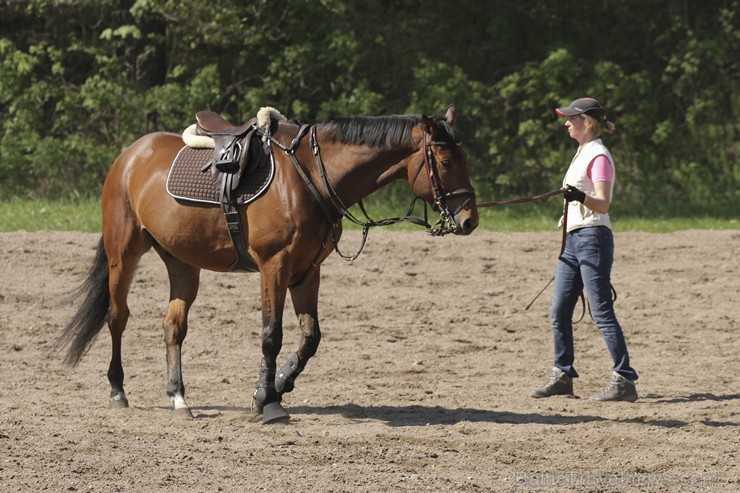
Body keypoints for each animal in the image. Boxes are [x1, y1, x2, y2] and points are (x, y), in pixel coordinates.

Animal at [62, 105, 480, 420]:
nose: (469, 220)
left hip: (182, 262)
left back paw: (179, 398)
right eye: (445, 161)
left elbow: (310, 337)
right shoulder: (273, 266)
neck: (310, 175)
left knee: (173, 326)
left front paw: (275, 387)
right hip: (124, 253)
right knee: (117, 317)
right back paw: (118, 390)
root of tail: (129, 156)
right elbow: (271, 335)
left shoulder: (307, 271)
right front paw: (269, 401)